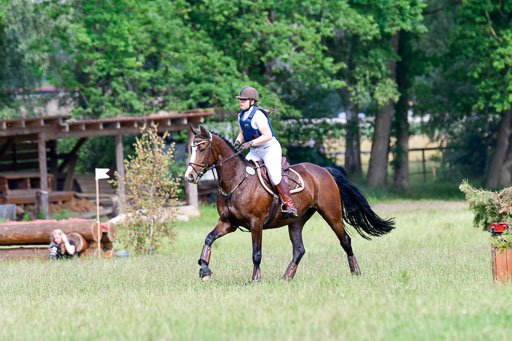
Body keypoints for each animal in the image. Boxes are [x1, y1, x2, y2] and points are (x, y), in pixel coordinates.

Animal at [185, 125, 396, 282]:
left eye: (202, 149)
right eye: (191, 149)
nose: (189, 176)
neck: (236, 181)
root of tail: (324, 170)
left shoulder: (256, 223)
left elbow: (256, 253)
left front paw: (255, 279)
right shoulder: (228, 223)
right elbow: (208, 239)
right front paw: (204, 271)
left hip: (331, 213)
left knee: (345, 240)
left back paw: (356, 271)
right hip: (296, 221)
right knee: (299, 249)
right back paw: (286, 277)